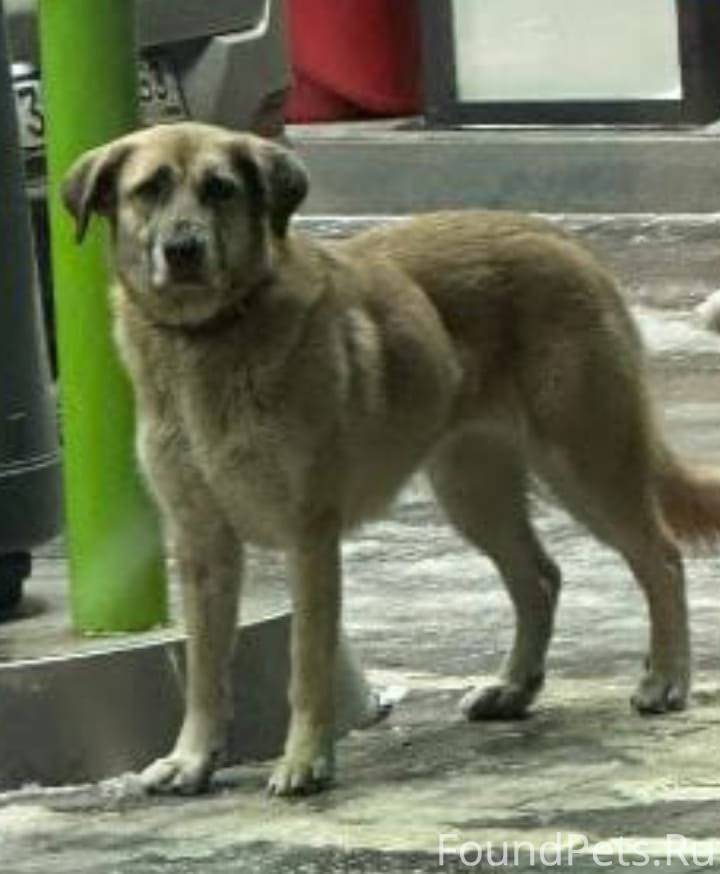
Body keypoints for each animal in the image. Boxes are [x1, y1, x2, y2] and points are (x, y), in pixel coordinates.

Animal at [62, 122, 720, 796]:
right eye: (150, 189)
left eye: (220, 189)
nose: (183, 249)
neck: (212, 336)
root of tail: (563, 240)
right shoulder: (201, 547)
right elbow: (202, 670)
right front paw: (193, 759)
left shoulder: (308, 536)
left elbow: (306, 666)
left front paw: (305, 761)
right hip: (472, 492)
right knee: (540, 576)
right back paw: (514, 688)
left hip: (586, 462)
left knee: (661, 559)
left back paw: (666, 678)